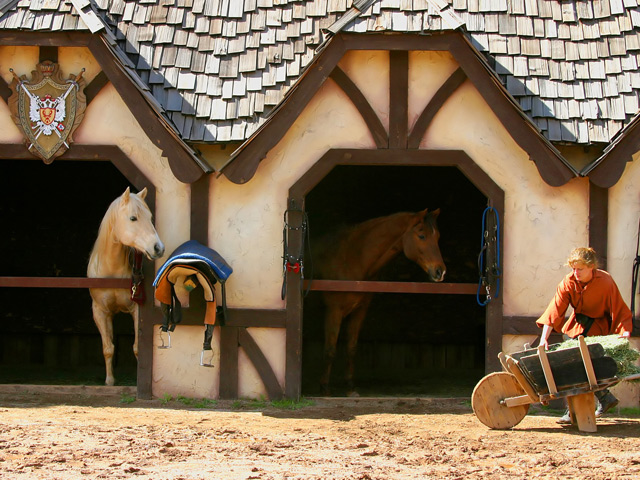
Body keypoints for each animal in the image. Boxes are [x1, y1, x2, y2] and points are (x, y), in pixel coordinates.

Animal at [88, 188, 165, 386]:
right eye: (133, 218)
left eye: (150, 217)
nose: (158, 248)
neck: (111, 271)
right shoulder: (100, 312)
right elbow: (108, 347)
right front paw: (109, 381)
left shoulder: (136, 310)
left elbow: (137, 347)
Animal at [314, 208, 444, 396]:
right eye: (421, 235)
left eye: (438, 237)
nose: (440, 271)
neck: (351, 258)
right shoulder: (334, 310)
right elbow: (330, 349)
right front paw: (324, 388)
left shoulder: (360, 311)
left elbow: (351, 348)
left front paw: (350, 386)